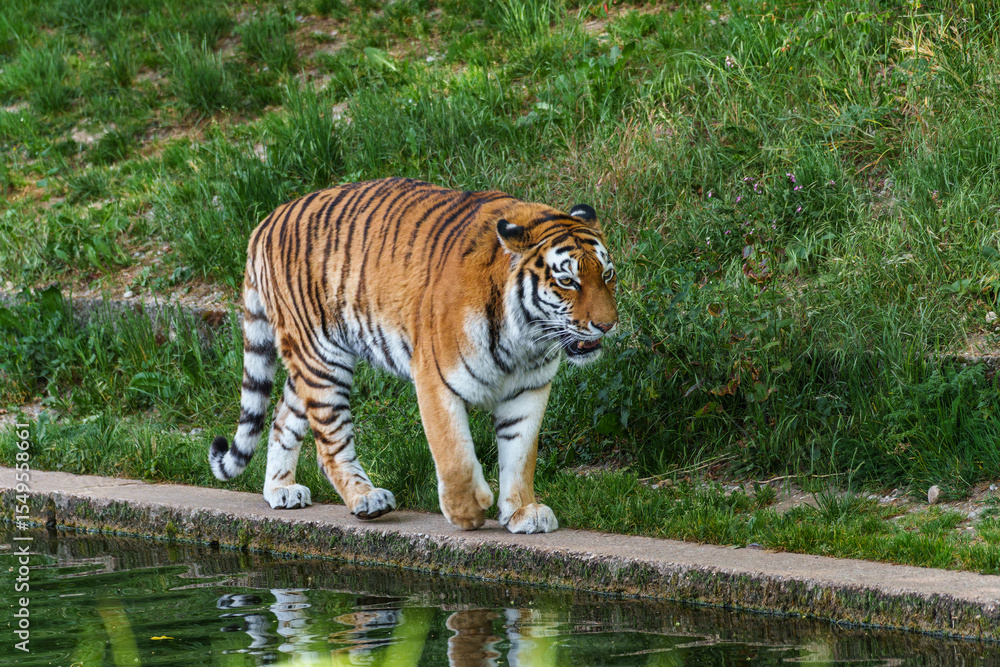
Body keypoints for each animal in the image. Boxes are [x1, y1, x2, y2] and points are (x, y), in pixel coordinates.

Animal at [208, 178, 618, 534]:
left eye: (608, 275)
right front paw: (468, 510)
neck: (526, 339)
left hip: (311, 361)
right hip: (321, 358)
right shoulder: (435, 378)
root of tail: (269, 219)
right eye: (567, 281)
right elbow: (454, 454)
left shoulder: (528, 390)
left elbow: (520, 455)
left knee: (282, 416)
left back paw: (281, 490)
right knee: (329, 442)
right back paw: (366, 499)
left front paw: (523, 511)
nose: (606, 325)